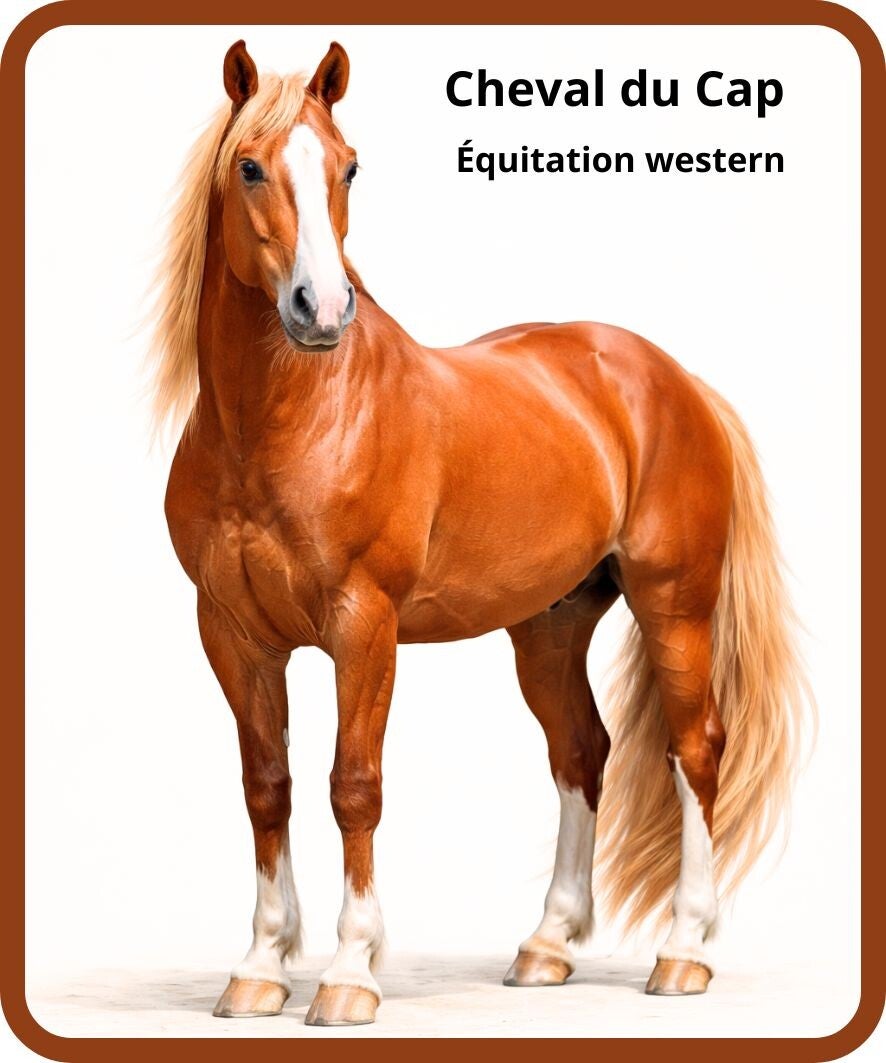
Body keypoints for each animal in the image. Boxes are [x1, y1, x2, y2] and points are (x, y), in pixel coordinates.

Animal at [152, 40, 809, 1027]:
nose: (321, 310)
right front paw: (261, 966)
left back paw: (684, 951)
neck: (284, 425)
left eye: (349, 166)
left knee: (695, 747)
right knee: (582, 751)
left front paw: (349, 973)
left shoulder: (364, 626)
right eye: (251, 167)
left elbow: (354, 787)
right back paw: (547, 945)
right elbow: (268, 786)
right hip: (549, 624)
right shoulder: (233, 634)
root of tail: (675, 380)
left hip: (675, 606)